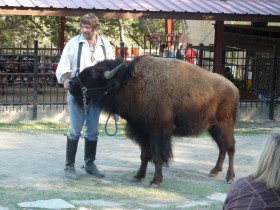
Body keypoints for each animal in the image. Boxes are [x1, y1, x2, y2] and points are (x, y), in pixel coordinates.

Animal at [69, 55, 240, 187]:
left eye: (95, 74)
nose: (71, 83)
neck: (129, 82)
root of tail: (234, 88)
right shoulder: (142, 132)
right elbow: (144, 156)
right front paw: (138, 176)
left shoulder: (158, 132)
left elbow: (158, 156)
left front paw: (156, 181)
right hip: (213, 127)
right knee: (222, 147)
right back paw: (214, 171)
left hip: (225, 125)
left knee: (230, 148)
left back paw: (229, 177)